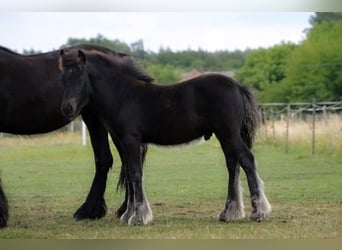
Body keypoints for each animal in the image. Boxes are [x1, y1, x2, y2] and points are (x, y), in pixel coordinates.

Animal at [58, 48, 272, 225]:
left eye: (80, 77)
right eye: (62, 80)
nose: (67, 108)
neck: (123, 95)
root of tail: (237, 86)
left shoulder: (131, 140)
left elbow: (135, 173)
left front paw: (138, 217)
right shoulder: (122, 141)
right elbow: (129, 173)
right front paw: (129, 214)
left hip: (229, 133)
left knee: (247, 160)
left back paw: (258, 212)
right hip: (225, 136)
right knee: (232, 164)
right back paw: (229, 213)